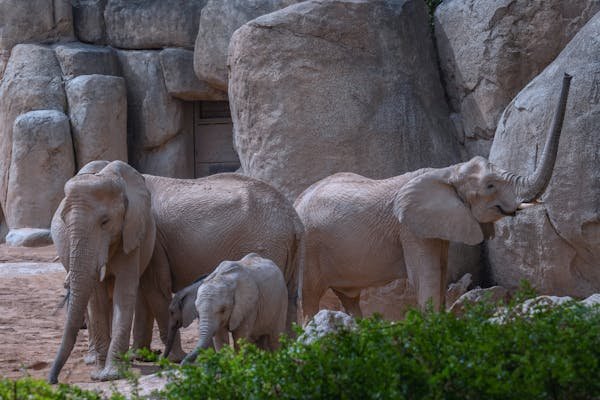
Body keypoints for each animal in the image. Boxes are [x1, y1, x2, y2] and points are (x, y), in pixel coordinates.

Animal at [49, 163, 304, 384]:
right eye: (63, 220)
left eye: (105, 222)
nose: (53, 380)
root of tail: (294, 219)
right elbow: (121, 293)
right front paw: (132, 359)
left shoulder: (149, 236)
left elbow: (150, 288)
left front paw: (171, 359)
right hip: (285, 250)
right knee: (289, 298)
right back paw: (289, 355)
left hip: (268, 244)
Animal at [298, 73, 576, 320]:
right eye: (490, 186)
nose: (568, 76)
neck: (447, 172)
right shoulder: (409, 228)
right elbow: (427, 275)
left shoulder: (438, 225)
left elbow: (441, 272)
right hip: (308, 249)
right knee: (307, 298)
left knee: (349, 298)